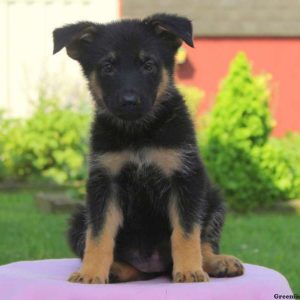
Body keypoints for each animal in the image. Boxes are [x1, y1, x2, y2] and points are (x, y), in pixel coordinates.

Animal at [52, 12, 244, 284]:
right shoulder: (104, 183)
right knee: (129, 266)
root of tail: (156, 266)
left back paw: (215, 262)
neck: (139, 133)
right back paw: (114, 269)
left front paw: (189, 270)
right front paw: (90, 273)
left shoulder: (186, 178)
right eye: (108, 67)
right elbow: (98, 235)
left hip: (213, 199)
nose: (129, 102)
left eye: (148, 65)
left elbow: (187, 232)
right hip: (79, 217)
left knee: (204, 242)